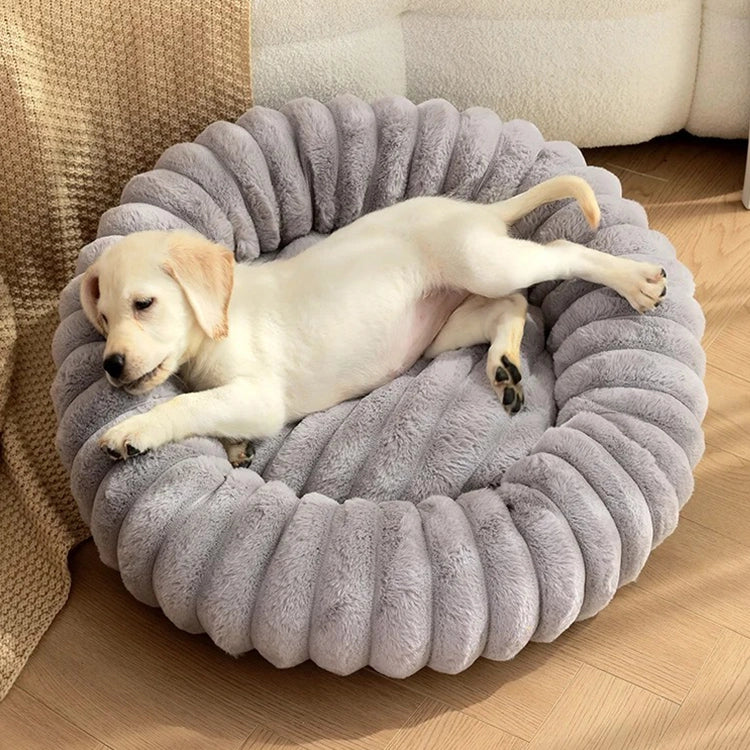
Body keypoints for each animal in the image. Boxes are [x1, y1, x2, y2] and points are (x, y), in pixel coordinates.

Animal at [81, 178, 668, 468]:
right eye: (103, 318)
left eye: (144, 304)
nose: (110, 365)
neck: (216, 325)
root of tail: (477, 210)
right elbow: (208, 408)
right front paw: (234, 448)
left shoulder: (259, 395)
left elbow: (187, 404)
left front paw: (133, 430)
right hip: (443, 330)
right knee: (512, 307)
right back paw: (503, 366)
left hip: (486, 263)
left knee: (564, 252)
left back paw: (637, 280)